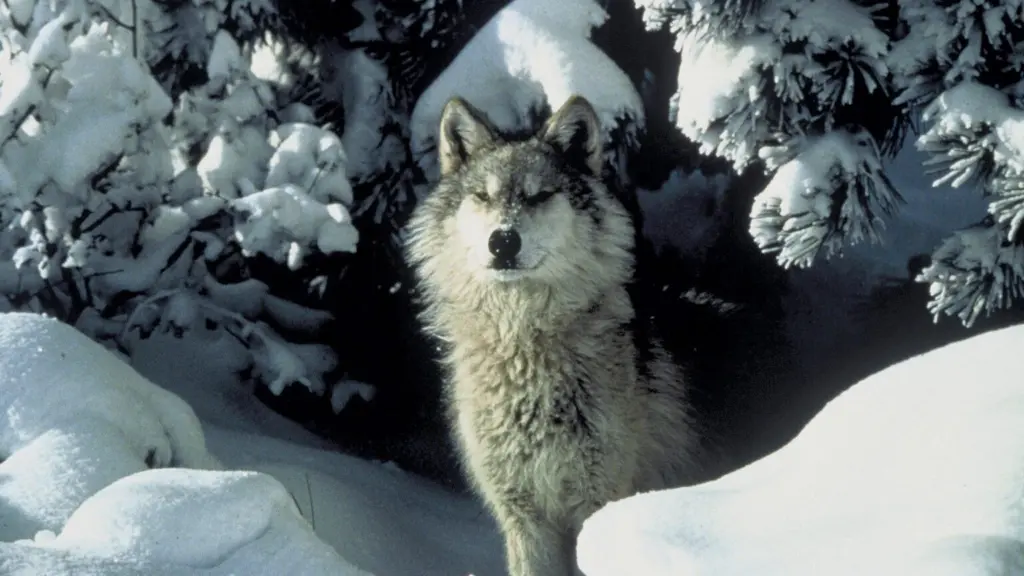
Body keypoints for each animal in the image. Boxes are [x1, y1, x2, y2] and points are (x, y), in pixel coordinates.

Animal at [405, 95, 710, 576]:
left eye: (539, 195)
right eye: (483, 196)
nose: (503, 241)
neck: (523, 347)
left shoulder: (597, 504)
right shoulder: (524, 518)